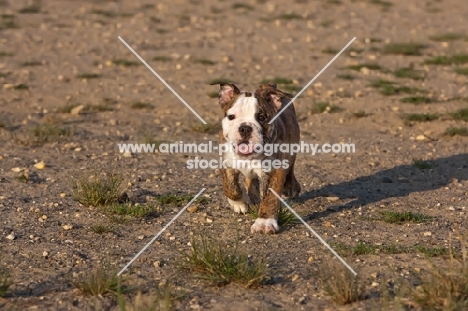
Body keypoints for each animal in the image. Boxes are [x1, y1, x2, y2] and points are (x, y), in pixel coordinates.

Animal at [211, 81, 300, 233]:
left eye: (262, 118)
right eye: (231, 117)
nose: (245, 128)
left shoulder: (275, 170)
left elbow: (270, 197)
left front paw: (265, 222)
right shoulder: (227, 163)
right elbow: (231, 188)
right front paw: (238, 203)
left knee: (291, 167)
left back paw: (291, 187)